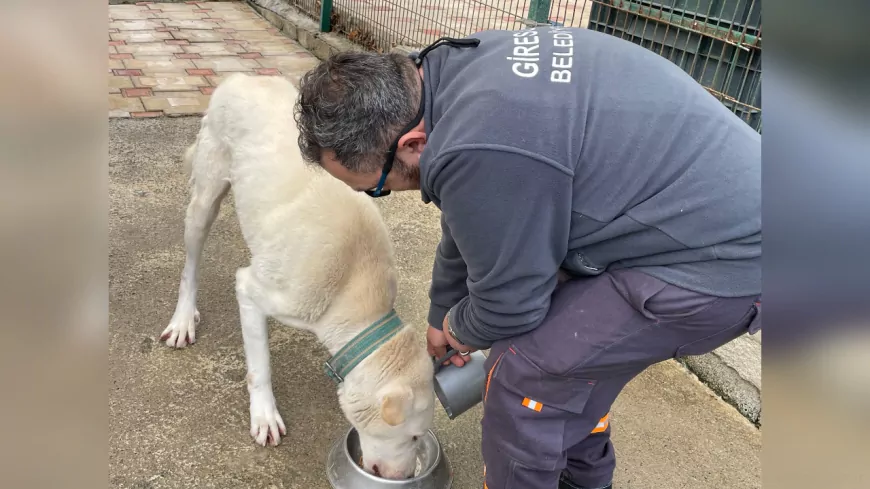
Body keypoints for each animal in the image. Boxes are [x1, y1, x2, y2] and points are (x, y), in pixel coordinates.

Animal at [159, 74, 436, 478]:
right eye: (414, 436)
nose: (406, 477)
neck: (352, 292)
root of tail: (241, 76)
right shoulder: (253, 291)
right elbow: (260, 366)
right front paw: (264, 415)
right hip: (205, 199)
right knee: (189, 266)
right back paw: (182, 319)